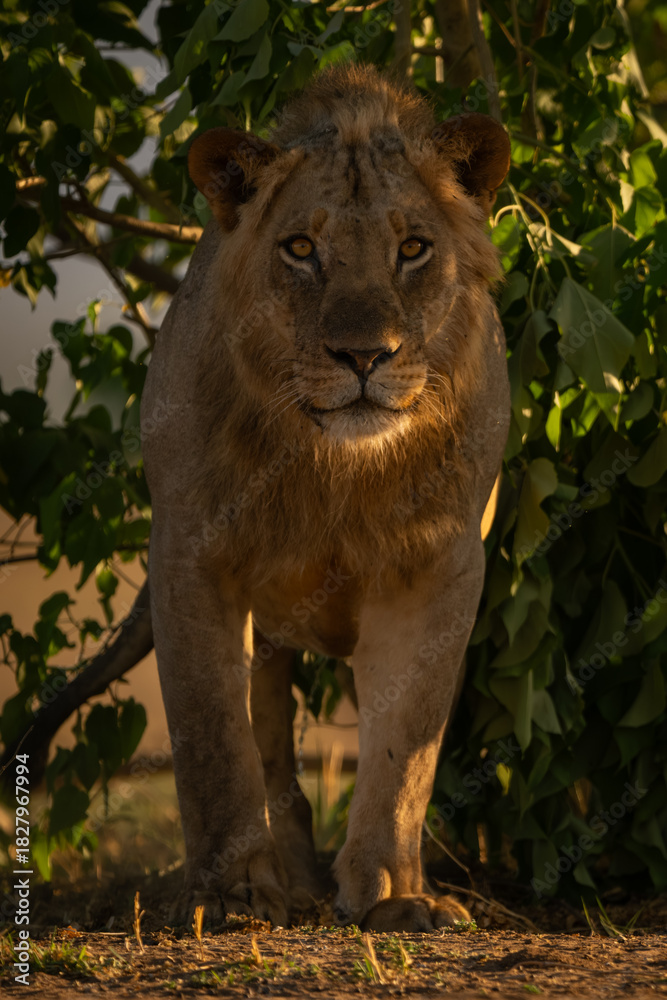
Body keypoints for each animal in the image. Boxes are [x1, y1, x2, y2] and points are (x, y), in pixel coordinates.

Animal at [141, 63, 511, 932]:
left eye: (412, 248)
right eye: (301, 250)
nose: (363, 356)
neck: (335, 469)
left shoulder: (438, 569)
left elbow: (404, 750)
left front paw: (392, 894)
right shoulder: (188, 556)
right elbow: (213, 736)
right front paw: (232, 894)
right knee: (269, 747)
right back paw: (286, 878)